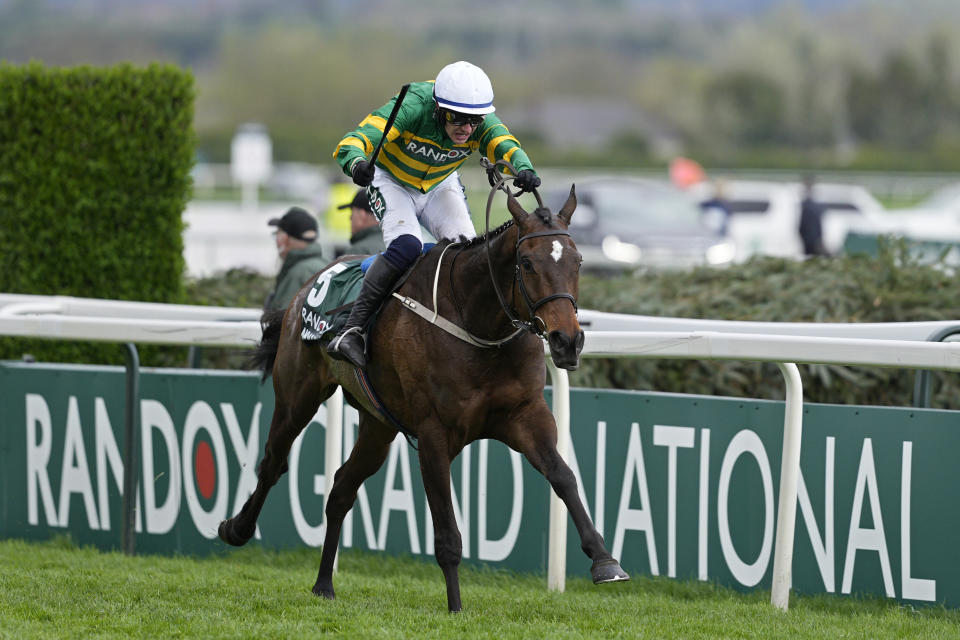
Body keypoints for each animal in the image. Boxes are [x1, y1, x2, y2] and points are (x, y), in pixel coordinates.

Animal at [218, 184, 632, 608]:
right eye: (528, 263)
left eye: (578, 261)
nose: (568, 341)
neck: (479, 324)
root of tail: (309, 284)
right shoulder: (434, 433)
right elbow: (447, 533)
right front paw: (456, 607)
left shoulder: (526, 415)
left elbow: (563, 476)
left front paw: (604, 561)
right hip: (297, 397)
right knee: (273, 462)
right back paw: (237, 528)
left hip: (378, 426)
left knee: (341, 489)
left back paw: (323, 584)